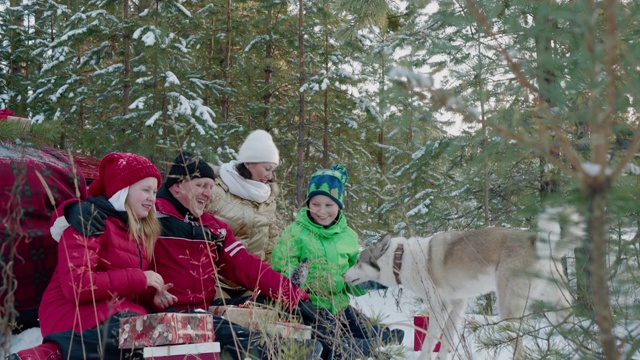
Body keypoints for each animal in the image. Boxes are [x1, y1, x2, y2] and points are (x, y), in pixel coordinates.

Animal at [344, 208, 580, 360]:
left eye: (357, 261)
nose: (343, 275)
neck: (400, 259)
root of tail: (537, 242)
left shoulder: (439, 308)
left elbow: (428, 346)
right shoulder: (457, 306)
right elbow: (447, 343)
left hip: (509, 313)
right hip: (558, 312)